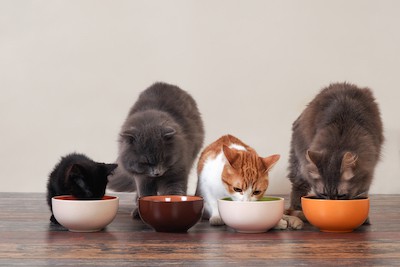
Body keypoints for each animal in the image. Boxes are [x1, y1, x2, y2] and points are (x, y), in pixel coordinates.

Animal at [108, 81, 205, 216]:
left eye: (164, 159)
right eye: (145, 162)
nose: (157, 172)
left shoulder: (177, 172)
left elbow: (174, 191)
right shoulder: (142, 178)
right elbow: (145, 193)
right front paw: (140, 210)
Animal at [286, 82, 382, 217]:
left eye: (341, 195)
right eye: (324, 194)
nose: (331, 206)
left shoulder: (368, 170)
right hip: (299, 162)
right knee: (298, 185)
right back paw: (296, 207)